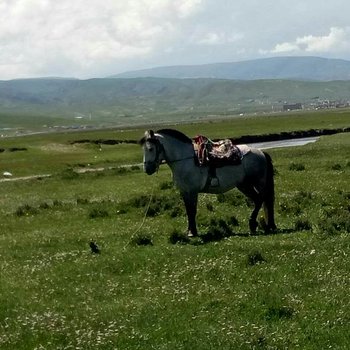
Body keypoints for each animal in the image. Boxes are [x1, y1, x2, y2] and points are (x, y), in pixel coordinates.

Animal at [139, 130, 276, 237]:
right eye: (143, 149)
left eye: (150, 149)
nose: (147, 169)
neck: (186, 160)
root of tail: (261, 153)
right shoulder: (184, 192)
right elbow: (188, 210)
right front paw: (189, 231)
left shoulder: (192, 192)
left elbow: (192, 211)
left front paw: (192, 232)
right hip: (244, 185)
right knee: (259, 200)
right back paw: (260, 225)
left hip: (258, 183)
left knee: (262, 200)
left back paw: (255, 224)